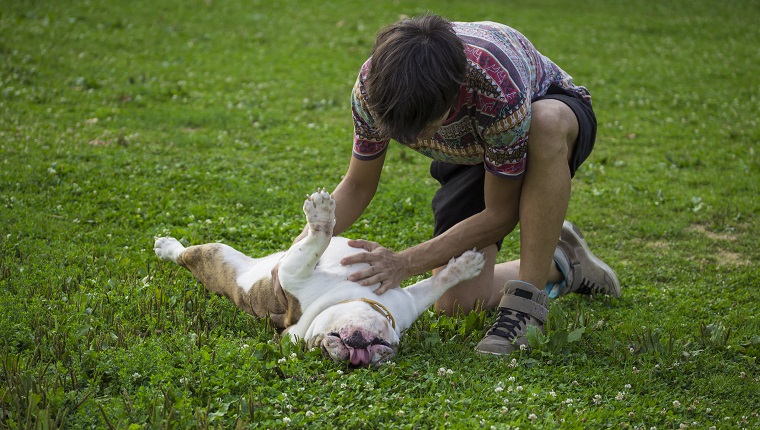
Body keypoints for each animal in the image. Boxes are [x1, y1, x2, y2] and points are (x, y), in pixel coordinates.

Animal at [154, 189, 484, 366]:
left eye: (384, 351)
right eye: (320, 347)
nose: (357, 358)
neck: (348, 296)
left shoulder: (411, 302)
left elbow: (437, 283)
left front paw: (466, 265)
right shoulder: (293, 273)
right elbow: (317, 242)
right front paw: (323, 215)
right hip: (219, 257)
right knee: (185, 255)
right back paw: (167, 246)